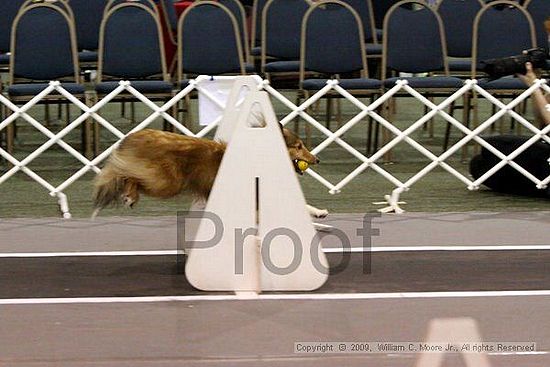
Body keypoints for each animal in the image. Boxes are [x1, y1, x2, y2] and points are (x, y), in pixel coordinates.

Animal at [92, 128, 330, 218]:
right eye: (299, 146)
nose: (317, 160)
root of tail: (135, 135)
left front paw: (319, 212)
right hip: (166, 181)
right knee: (128, 174)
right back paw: (130, 196)